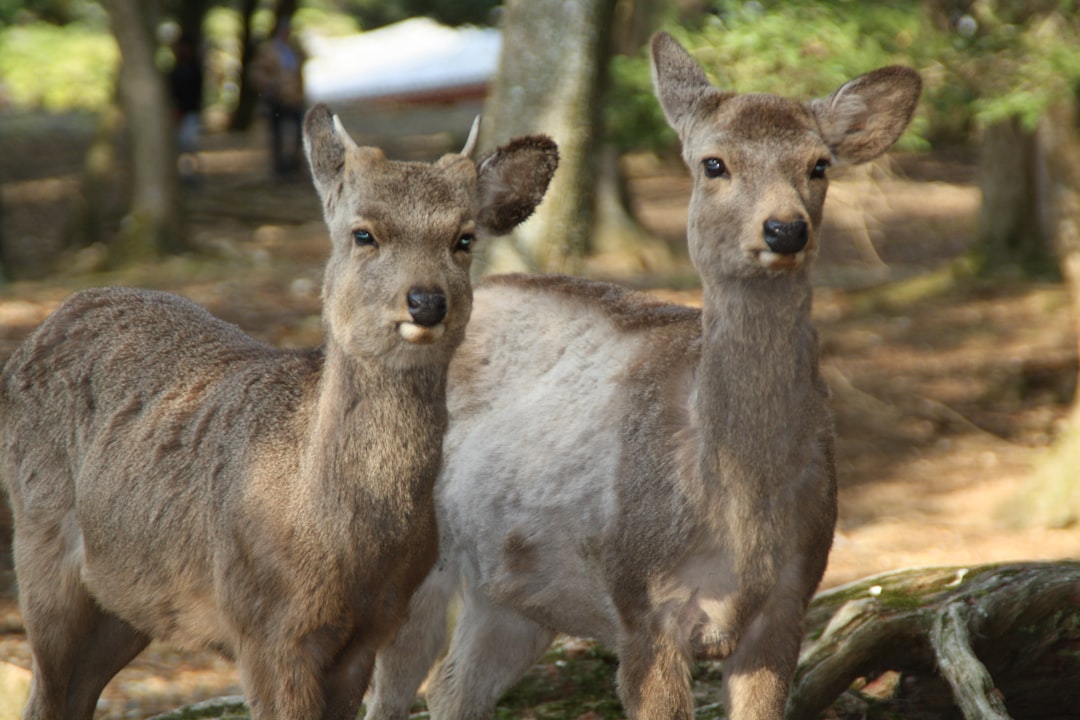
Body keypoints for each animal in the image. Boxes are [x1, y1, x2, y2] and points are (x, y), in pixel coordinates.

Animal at [0, 102, 557, 720]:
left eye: (463, 238)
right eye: (363, 233)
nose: (426, 301)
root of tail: (51, 320)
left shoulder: (371, 630)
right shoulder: (264, 625)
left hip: (129, 599)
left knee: (76, 691)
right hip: (39, 547)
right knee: (44, 691)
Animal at [365, 31, 920, 716]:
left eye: (820, 165)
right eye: (714, 163)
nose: (786, 228)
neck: (738, 514)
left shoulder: (792, 599)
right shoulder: (641, 602)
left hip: (514, 592)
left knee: (451, 688)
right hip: (412, 554)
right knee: (389, 690)